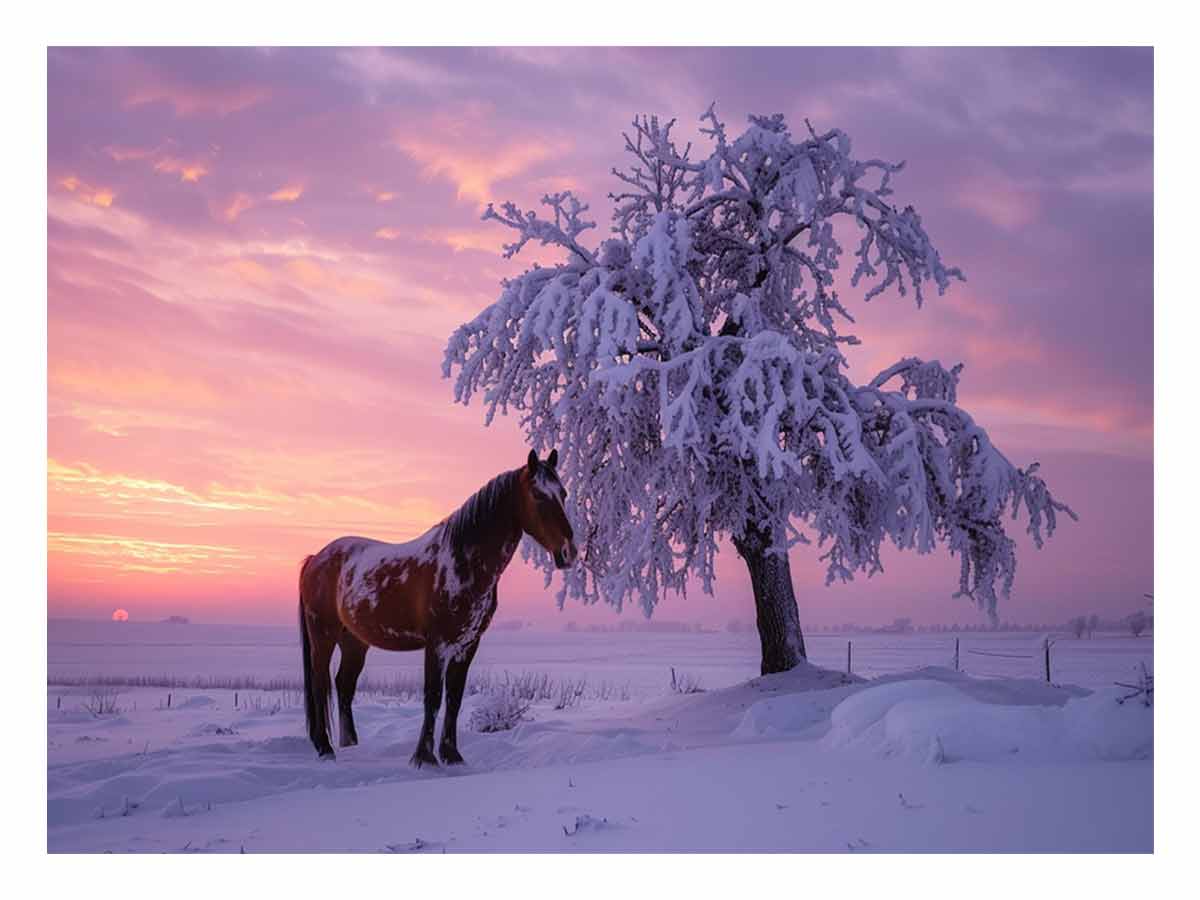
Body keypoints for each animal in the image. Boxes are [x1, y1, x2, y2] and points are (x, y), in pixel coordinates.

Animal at [297, 449, 577, 767]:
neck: (461, 562)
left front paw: (452, 755)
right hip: (323, 636)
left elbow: (454, 697)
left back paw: (350, 745)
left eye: (563, 493)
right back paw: (324, 748)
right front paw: (424, 758)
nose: (569, 552)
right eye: (538, 495)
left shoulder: (467, 644)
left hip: (355, 642)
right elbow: (432, 696)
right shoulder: (437, 644)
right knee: (320, 685)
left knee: (344, 685)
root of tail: (316, 558)